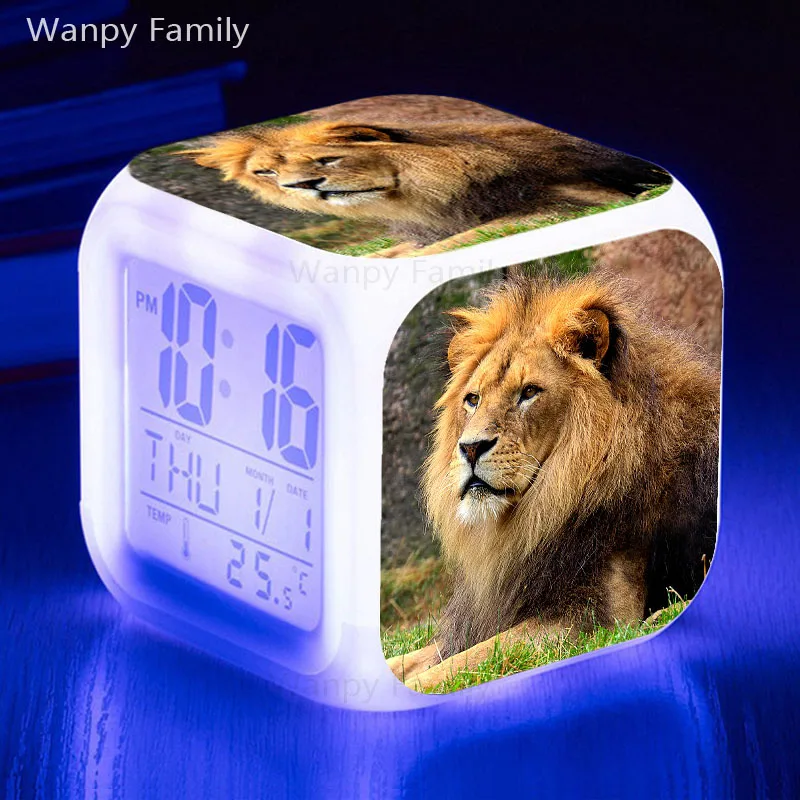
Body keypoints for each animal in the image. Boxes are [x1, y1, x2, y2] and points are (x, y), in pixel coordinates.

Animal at [387, 270, 720, 689]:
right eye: (473, 399)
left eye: (529, 392)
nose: (471, 448)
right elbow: (413, 660)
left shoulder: (594, 616)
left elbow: (467, 663)